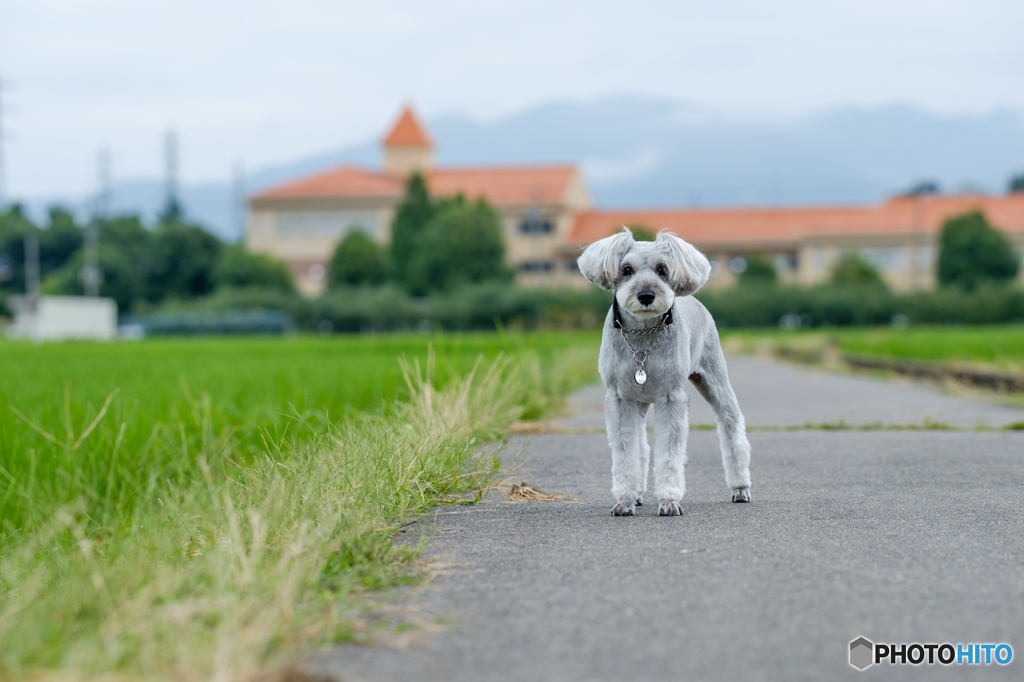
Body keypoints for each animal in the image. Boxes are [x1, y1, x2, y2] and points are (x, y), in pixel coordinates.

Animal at [577, 228, 753, 516]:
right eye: (626, 269)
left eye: (662, 269)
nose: (646, 295)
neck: (642, 334)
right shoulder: (620, 399)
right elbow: (626, 452)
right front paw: (625, 499)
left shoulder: (671, 398)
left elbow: (670, 454)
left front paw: (669, 501)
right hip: (638, 403)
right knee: (641, 445)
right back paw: (637, 493)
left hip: (715, 380)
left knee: (732, 426)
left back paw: (740, 488)